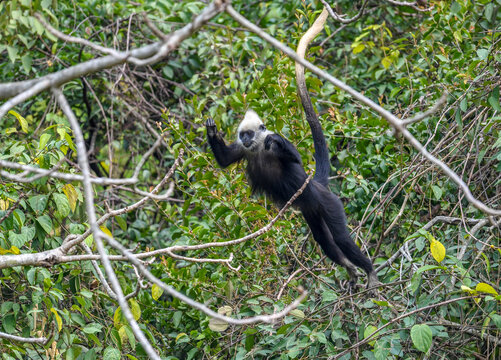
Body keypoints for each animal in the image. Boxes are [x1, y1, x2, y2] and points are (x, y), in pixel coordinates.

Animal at [205, 109, 376, 290]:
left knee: (341, 238)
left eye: (249, 134)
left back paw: (370, 271)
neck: (258, 148)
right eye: (242, 135)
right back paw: (350, 267)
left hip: (329, 202)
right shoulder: (243, 149)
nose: (244, 139)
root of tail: (316, 184)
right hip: (310, 210)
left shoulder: (271, 147)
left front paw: (276, 138)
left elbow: (296, 158)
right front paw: (211, 130)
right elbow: (224, 160)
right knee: (322, 239)